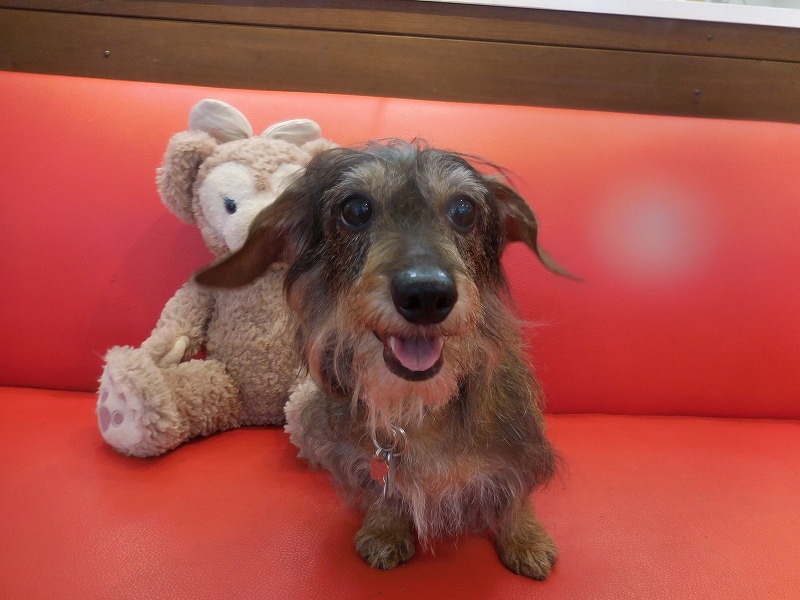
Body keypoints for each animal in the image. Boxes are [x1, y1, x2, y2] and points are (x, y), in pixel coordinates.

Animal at [197, 139, 572, 579]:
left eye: (464, 211)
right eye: (356, 209)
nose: (426, 295)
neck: (417, 406)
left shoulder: (521, 447)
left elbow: (515, 496)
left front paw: (526, 538)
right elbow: (385, 492)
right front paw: (386, 527)